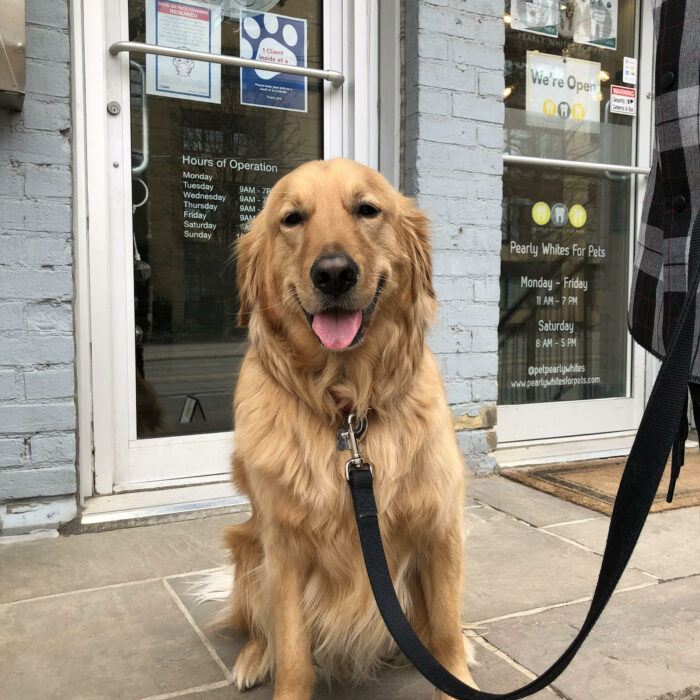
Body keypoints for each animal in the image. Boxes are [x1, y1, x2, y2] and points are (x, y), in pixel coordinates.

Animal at [222, 158, 477, 699]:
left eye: (367, 210)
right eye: (291, 218)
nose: (334, 273)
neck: (345, 405)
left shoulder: (441, 528)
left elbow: (445, 628)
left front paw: (456, 676)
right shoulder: (283, 548)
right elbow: (292, 649)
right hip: (247, 547)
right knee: (261, 627)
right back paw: (253, 657)